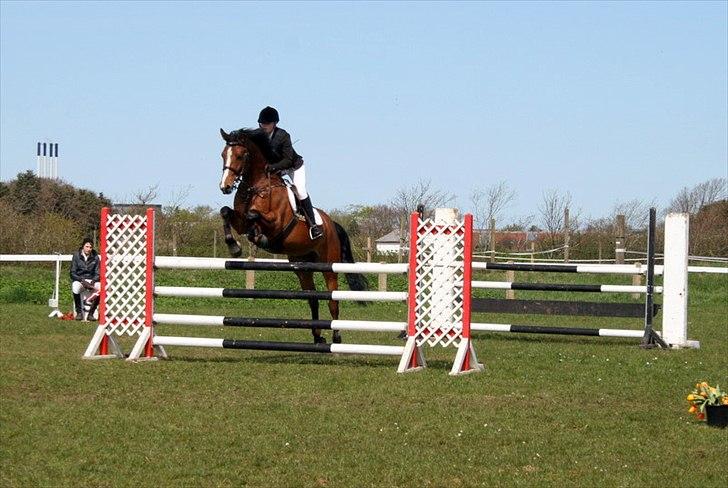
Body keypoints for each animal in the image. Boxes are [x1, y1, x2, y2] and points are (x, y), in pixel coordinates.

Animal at [215, 127, 364, 346]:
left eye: (241, 156)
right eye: (223, 154)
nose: (224, 187)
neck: (257, 185)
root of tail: (331, 223)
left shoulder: (276, 222)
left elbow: (254, 215)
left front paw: (259, 237)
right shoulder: (239, 221)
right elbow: (226, 212)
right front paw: (234, 246)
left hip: (329, 265)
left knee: (332, 299)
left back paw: (336, 336)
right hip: (302, 267)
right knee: (313, 299)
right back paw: (317, 336)